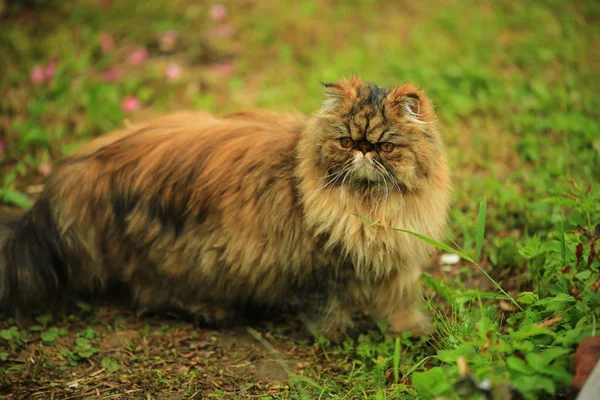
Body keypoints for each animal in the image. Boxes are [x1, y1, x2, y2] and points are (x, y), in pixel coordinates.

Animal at [0, 76, 450, 340]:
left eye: (385, 147)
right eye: (345, 141)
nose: (363, 151)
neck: (371, 209)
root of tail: (89, 161)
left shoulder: (399, 263)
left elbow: (400, 304)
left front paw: (412, 333)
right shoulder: (316, 270)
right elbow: (326, 314)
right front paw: (339, 337)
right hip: (181, 257)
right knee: (150, 294)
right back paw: (213, 311)